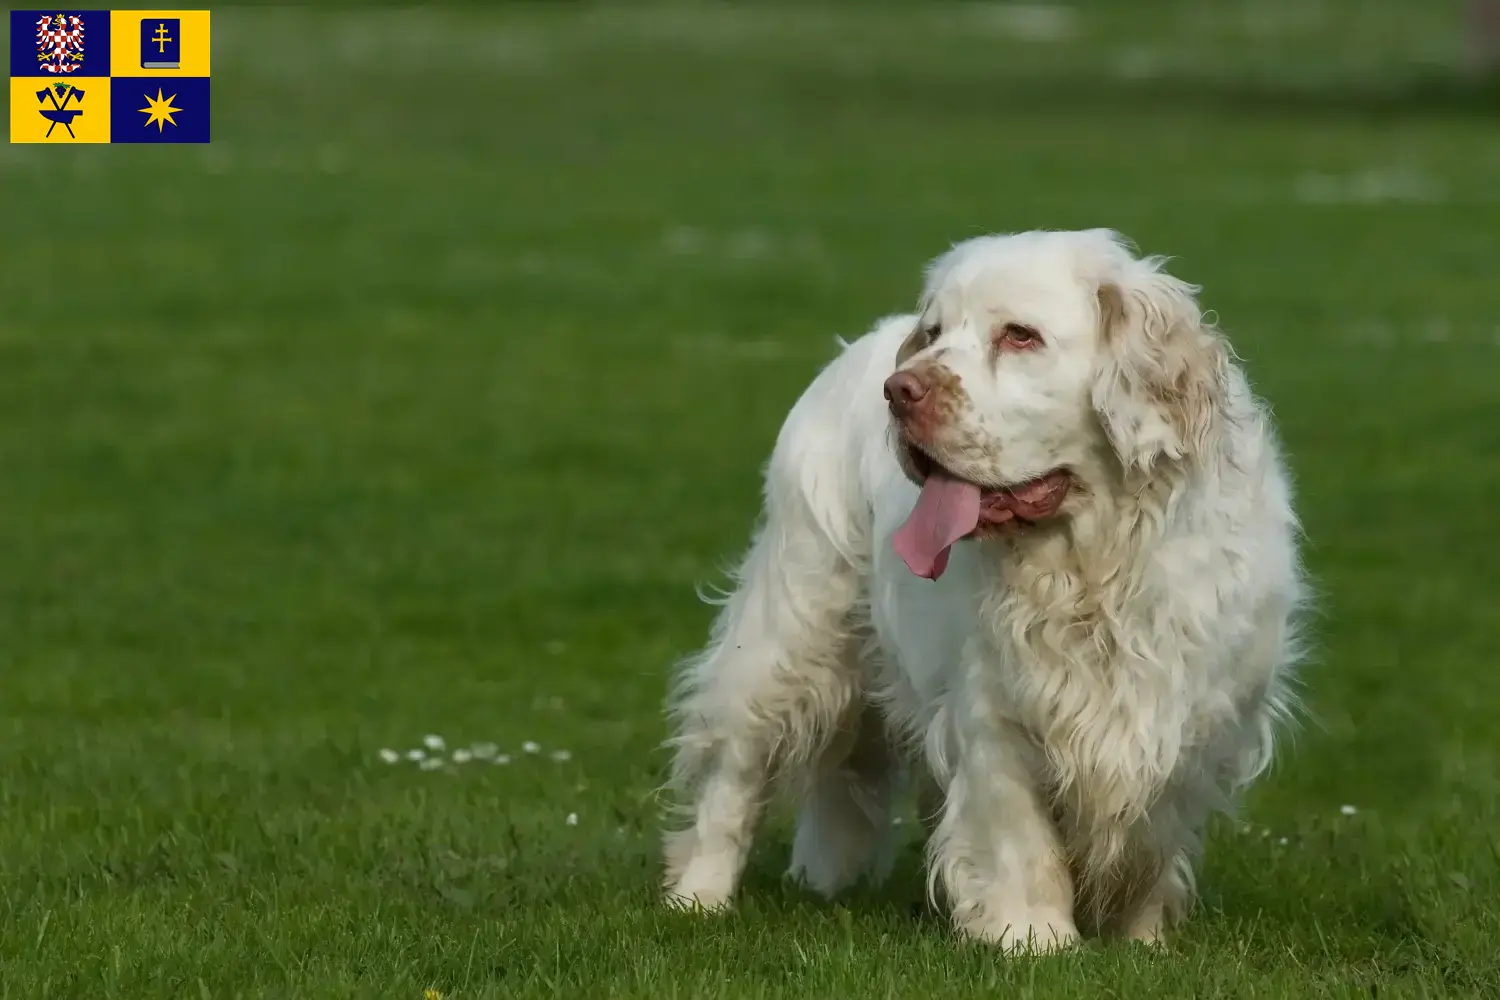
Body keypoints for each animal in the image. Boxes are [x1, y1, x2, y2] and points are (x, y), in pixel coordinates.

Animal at [663, 229, 1308, 953]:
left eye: (1020, 336)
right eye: (934, 333)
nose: (900, 390)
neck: (1091, 565)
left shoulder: (1192, 714)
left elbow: (1152, 834)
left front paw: (1140, 938)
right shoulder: (993, 706)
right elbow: (1016, 833)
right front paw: (1033, 937)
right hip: (792, 627)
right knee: (734, 769)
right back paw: (698, 896)